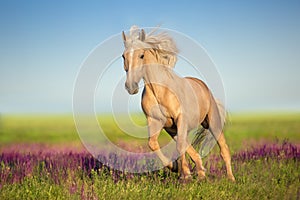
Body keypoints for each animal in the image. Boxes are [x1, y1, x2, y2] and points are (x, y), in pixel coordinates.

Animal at [121, 25, 234, 181]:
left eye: (141, 55)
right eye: (123, 56)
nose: (131, 87)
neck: (160, 91)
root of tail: (204, 87)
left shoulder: (180, 119)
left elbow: (180, 147)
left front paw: (184, 174)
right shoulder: (156, 121)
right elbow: (153, 144)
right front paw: (176, 168)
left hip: (213, 124)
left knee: (224, 149)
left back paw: (230, 178)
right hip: (173, 130)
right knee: (191, 150)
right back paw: (200, 174)